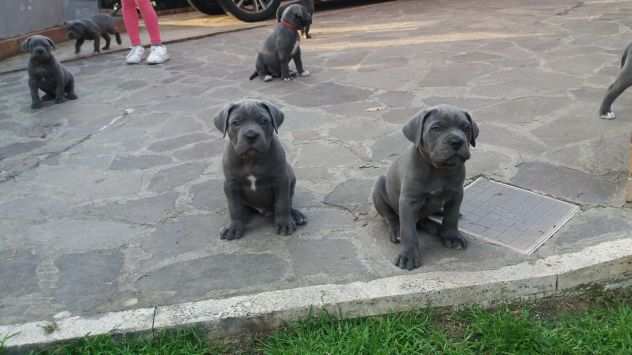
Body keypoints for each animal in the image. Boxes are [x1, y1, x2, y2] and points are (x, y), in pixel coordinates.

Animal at [214, 98, 308, 241]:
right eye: (236, 123)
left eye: (264, 121)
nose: (251, 135)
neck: (251, 159)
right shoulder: (231, 184)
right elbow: (234, 207)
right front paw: (234, 227)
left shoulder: (281, 180)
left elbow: (282, 203)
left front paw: (284, 223)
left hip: (290, 176)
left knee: (287, 201)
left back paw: (296, 215)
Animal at [370, 104, 478, 272]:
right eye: (436, 128)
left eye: (466, 128)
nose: (457, 141)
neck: (439, 169)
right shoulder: (408, 201)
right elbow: (408, 231)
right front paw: (408, 255)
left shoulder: (456, 194)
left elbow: (451, 217)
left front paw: (452, 236)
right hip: (379, 188)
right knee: (392, 217)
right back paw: (397, 229)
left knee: (425, 219)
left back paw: (438, 224)